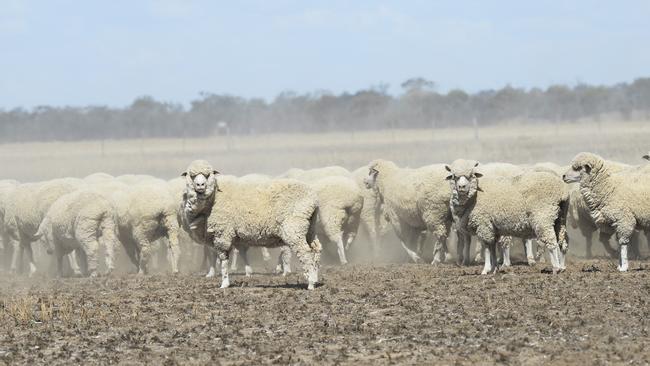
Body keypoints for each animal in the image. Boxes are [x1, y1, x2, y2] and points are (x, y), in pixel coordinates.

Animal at [180, 162, 322, 290]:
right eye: (191, 176)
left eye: (208, 175)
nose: (200, 185)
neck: (214, 198)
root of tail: (313, 198)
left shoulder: (222, 234)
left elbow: (223, 261)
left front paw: (224, 284)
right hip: (309, 228)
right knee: (316, 248)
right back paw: (315, 279)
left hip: (294, 228)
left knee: (306, 253)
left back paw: (310, 284)